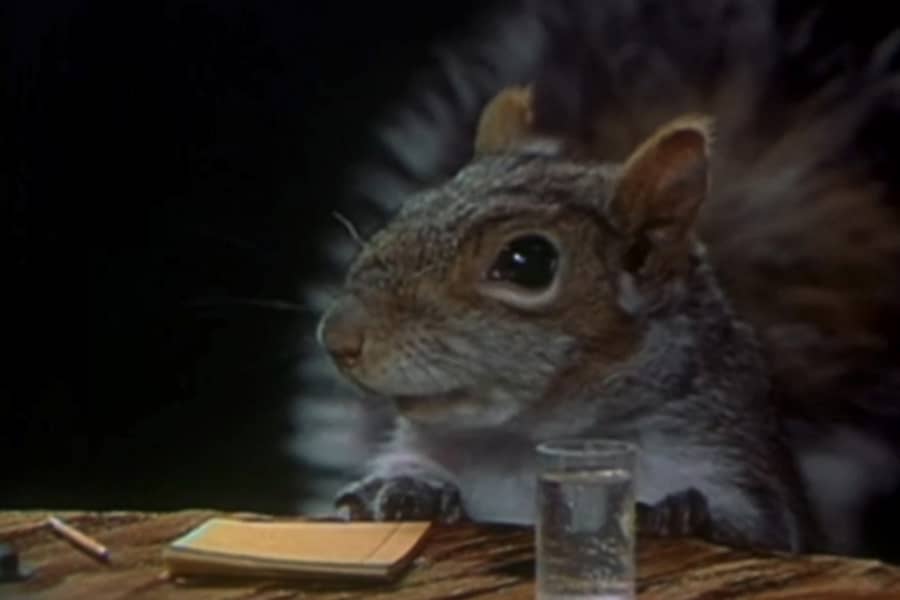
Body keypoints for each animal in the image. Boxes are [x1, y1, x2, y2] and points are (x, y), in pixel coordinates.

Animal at [291, 0, 900, 556]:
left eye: (528, 262)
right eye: (410, 207)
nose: (338, 338)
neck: (531, 443)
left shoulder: (740, 476)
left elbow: (757, 532)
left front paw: (686, 514)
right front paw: (403, 487)